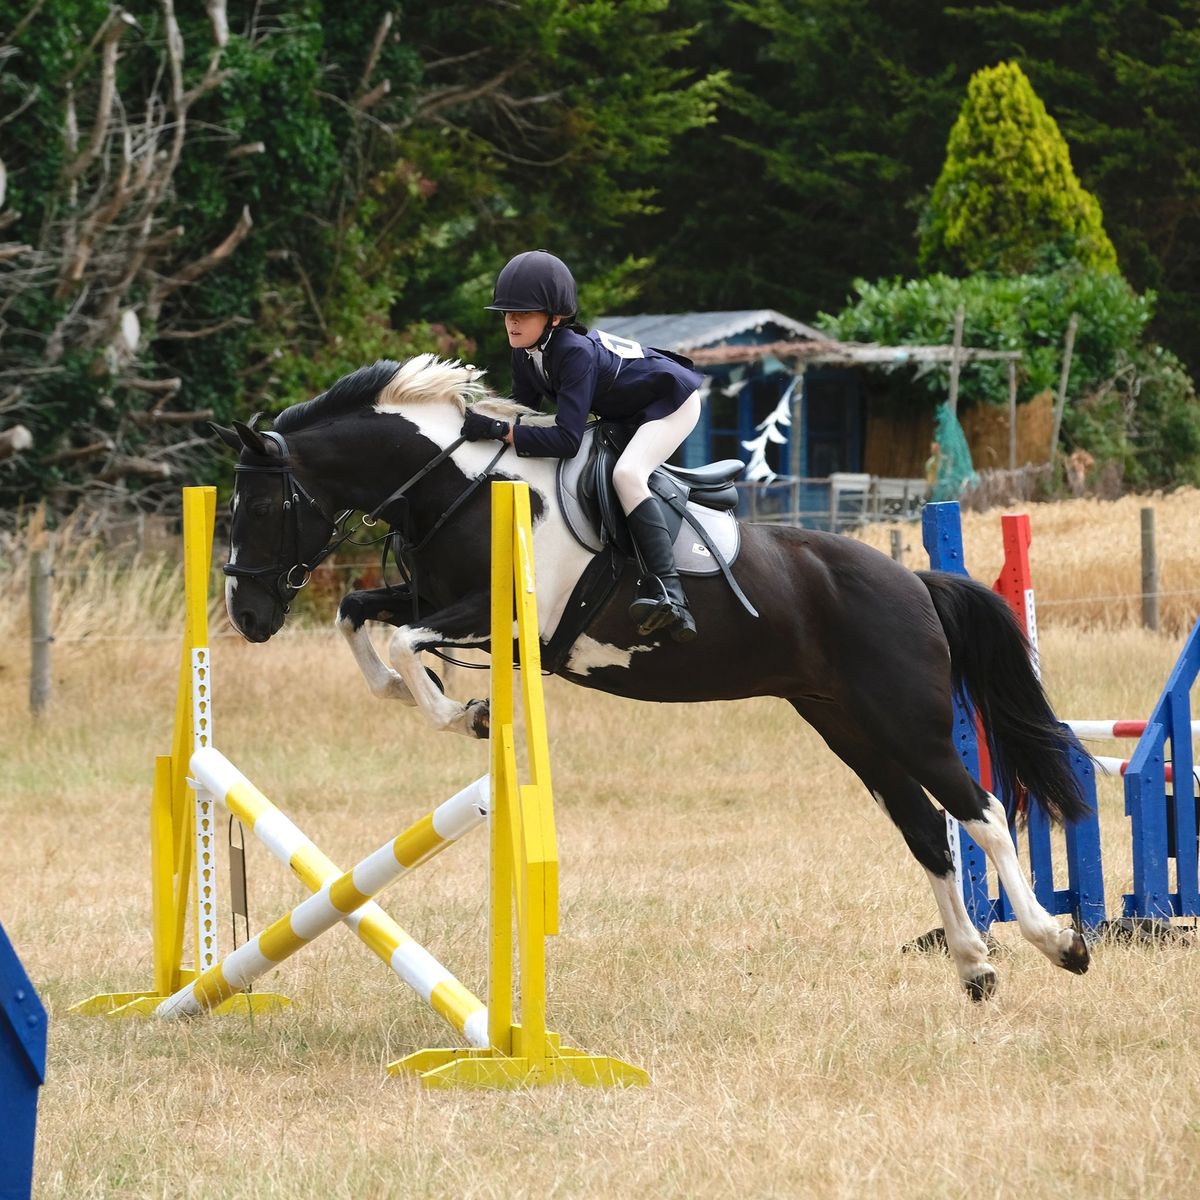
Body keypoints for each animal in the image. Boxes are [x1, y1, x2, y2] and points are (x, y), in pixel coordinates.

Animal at [211, 350, 1094, 998]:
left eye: (261, 508)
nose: (248, 617)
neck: (462, 487)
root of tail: (912, 581)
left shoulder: (502, 618)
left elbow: (398, 641)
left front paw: (465, 714)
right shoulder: (436, 600)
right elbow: (361, 618)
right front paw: (433, 701)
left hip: (907, 721)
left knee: (981, 812)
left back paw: (1057, 942)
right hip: (847, 725)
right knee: (925, 829)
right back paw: (974, 966)